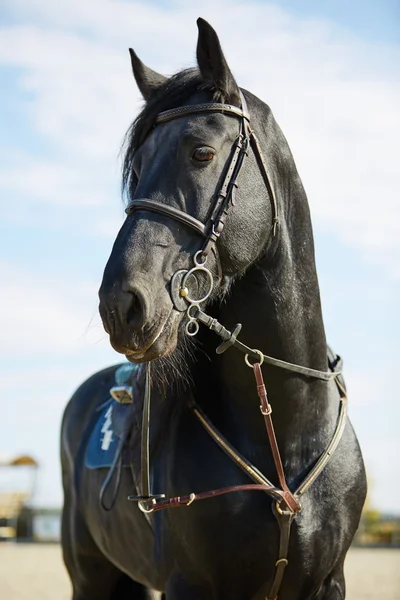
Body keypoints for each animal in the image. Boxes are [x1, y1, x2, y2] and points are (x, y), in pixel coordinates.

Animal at [61, 18, 366, 600]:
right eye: (136, 170)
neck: (285, 439)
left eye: (201, 152)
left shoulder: (329, 582)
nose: (121, 304)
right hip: (90, 575)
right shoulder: (190, 584)